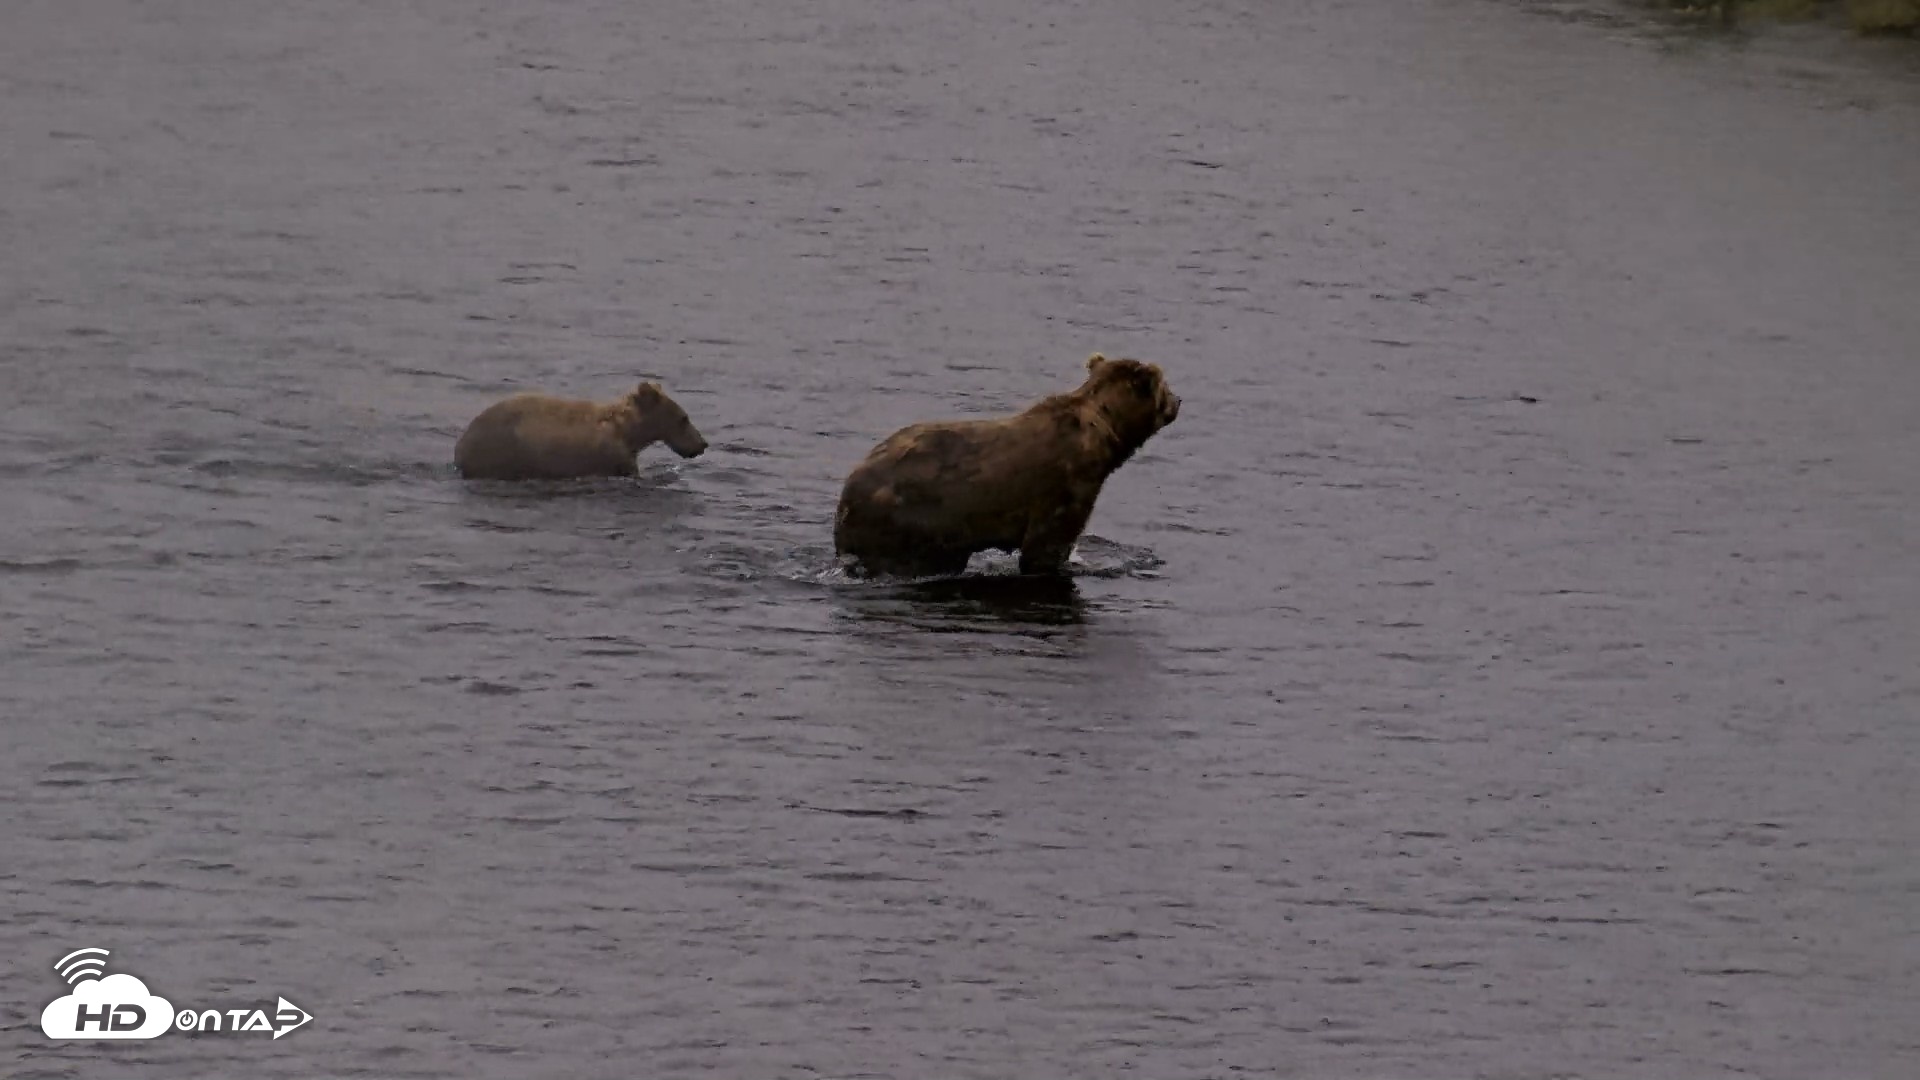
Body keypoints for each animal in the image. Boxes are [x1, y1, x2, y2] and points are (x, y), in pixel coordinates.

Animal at [833, 353, 1180, 578]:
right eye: (1165, 385)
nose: (1179, 401)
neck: (1105, 433)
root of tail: (845, 499)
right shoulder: (1066, 484)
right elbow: (1046, 544)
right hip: (912, 517)